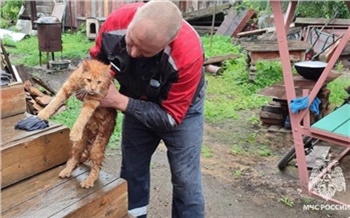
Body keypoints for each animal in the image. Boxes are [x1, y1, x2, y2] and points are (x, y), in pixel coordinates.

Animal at [37, 58, 117, 188]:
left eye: (99, 82)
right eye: (88, 80)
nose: (93, 88)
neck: (82, 85)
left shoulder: (93, 100)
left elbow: (82, 117)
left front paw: (74, 132)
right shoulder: (68, 86)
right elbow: (55, 100)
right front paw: (43, 113)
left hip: (97, 147)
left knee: (96, 167)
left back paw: (89, 181)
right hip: (79, 143)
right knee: (74, 158)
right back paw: (66, 170)